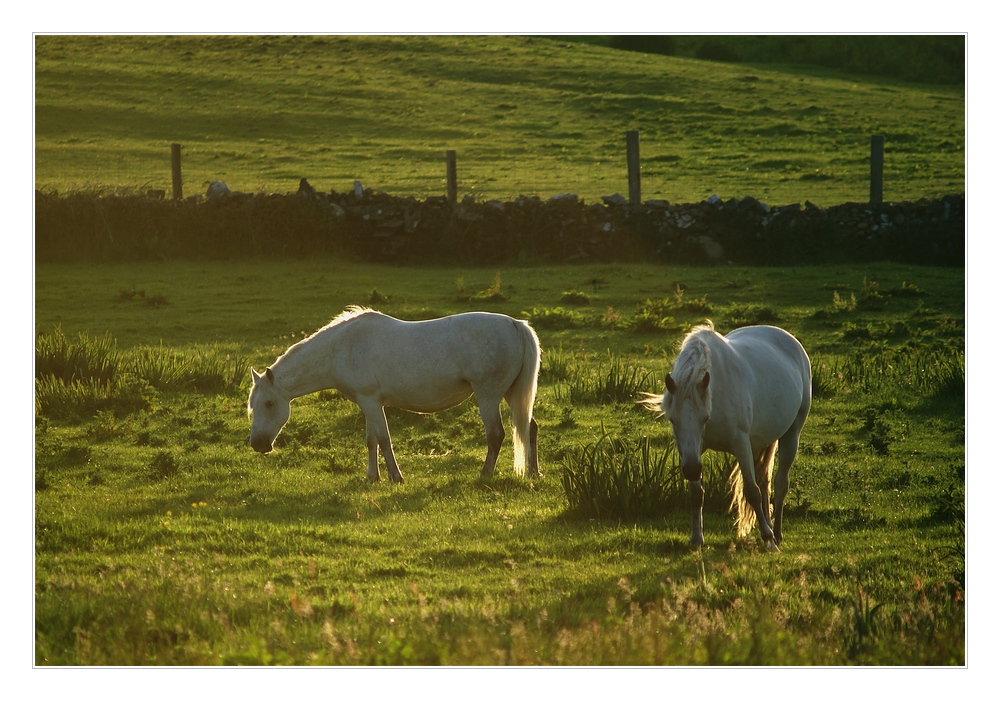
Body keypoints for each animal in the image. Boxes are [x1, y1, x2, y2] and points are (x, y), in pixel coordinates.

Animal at [247, 306, 544, 482]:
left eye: (269, 403)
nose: (258, 444)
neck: (342, 347)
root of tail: (516, 324)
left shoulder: (371, 401)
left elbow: (383, 439)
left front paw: (395, 477)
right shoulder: (368, 403)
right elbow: (371, 441)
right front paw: (372, 477)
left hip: (488, 396)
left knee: (496, 435)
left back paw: (485, 475)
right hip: (511, 394)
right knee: (529, 427)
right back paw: (533, 473)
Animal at [648, 322, 812, 548]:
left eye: (705, 418)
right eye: (673, 420)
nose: (691, 470)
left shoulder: (740, 443)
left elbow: (751, 492)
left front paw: (768, 538)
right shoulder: (693, 451)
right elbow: (696, 494)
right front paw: (696, 539)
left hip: (791, 434)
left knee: (780, 484)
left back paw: (776, 535)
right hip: (763, 440)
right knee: (765, 482)